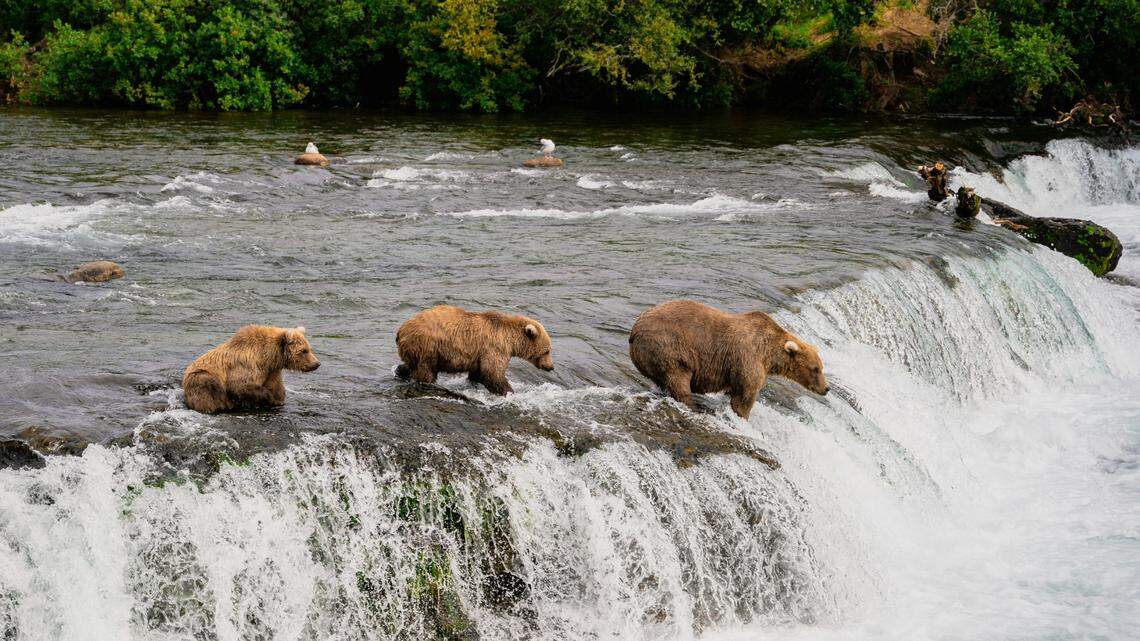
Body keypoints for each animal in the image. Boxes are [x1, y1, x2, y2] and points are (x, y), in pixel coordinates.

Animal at [183, 325, 320, 413]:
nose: (317, 363)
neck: (270, 356)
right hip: (201, 377)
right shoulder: (247, 364)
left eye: (309, 348)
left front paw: (277, 400)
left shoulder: (272, 371)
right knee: (208, 388)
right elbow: (240, 385)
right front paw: (268, 398)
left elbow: (277, 388)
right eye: (304, 350)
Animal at [395, 305, 554, 395]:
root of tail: (401, 329)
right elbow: (493, 373)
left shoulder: (480, 354)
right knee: (426, 370)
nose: (551, 367)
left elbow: (479, 373)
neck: (510, 339)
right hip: (428, 346)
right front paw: (509, 391)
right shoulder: (494, 347)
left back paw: (401, 372)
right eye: (547, 351)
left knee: (411, 365)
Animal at [628, 300, 829, 419]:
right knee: (678, 379)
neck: (769, 354)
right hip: (668, 348)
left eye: (820, 367)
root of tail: (634, 330)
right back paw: (693, 406)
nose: (826, 388)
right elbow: (745, 396)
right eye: (815, 369)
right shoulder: (748, 358)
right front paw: (742, 416)